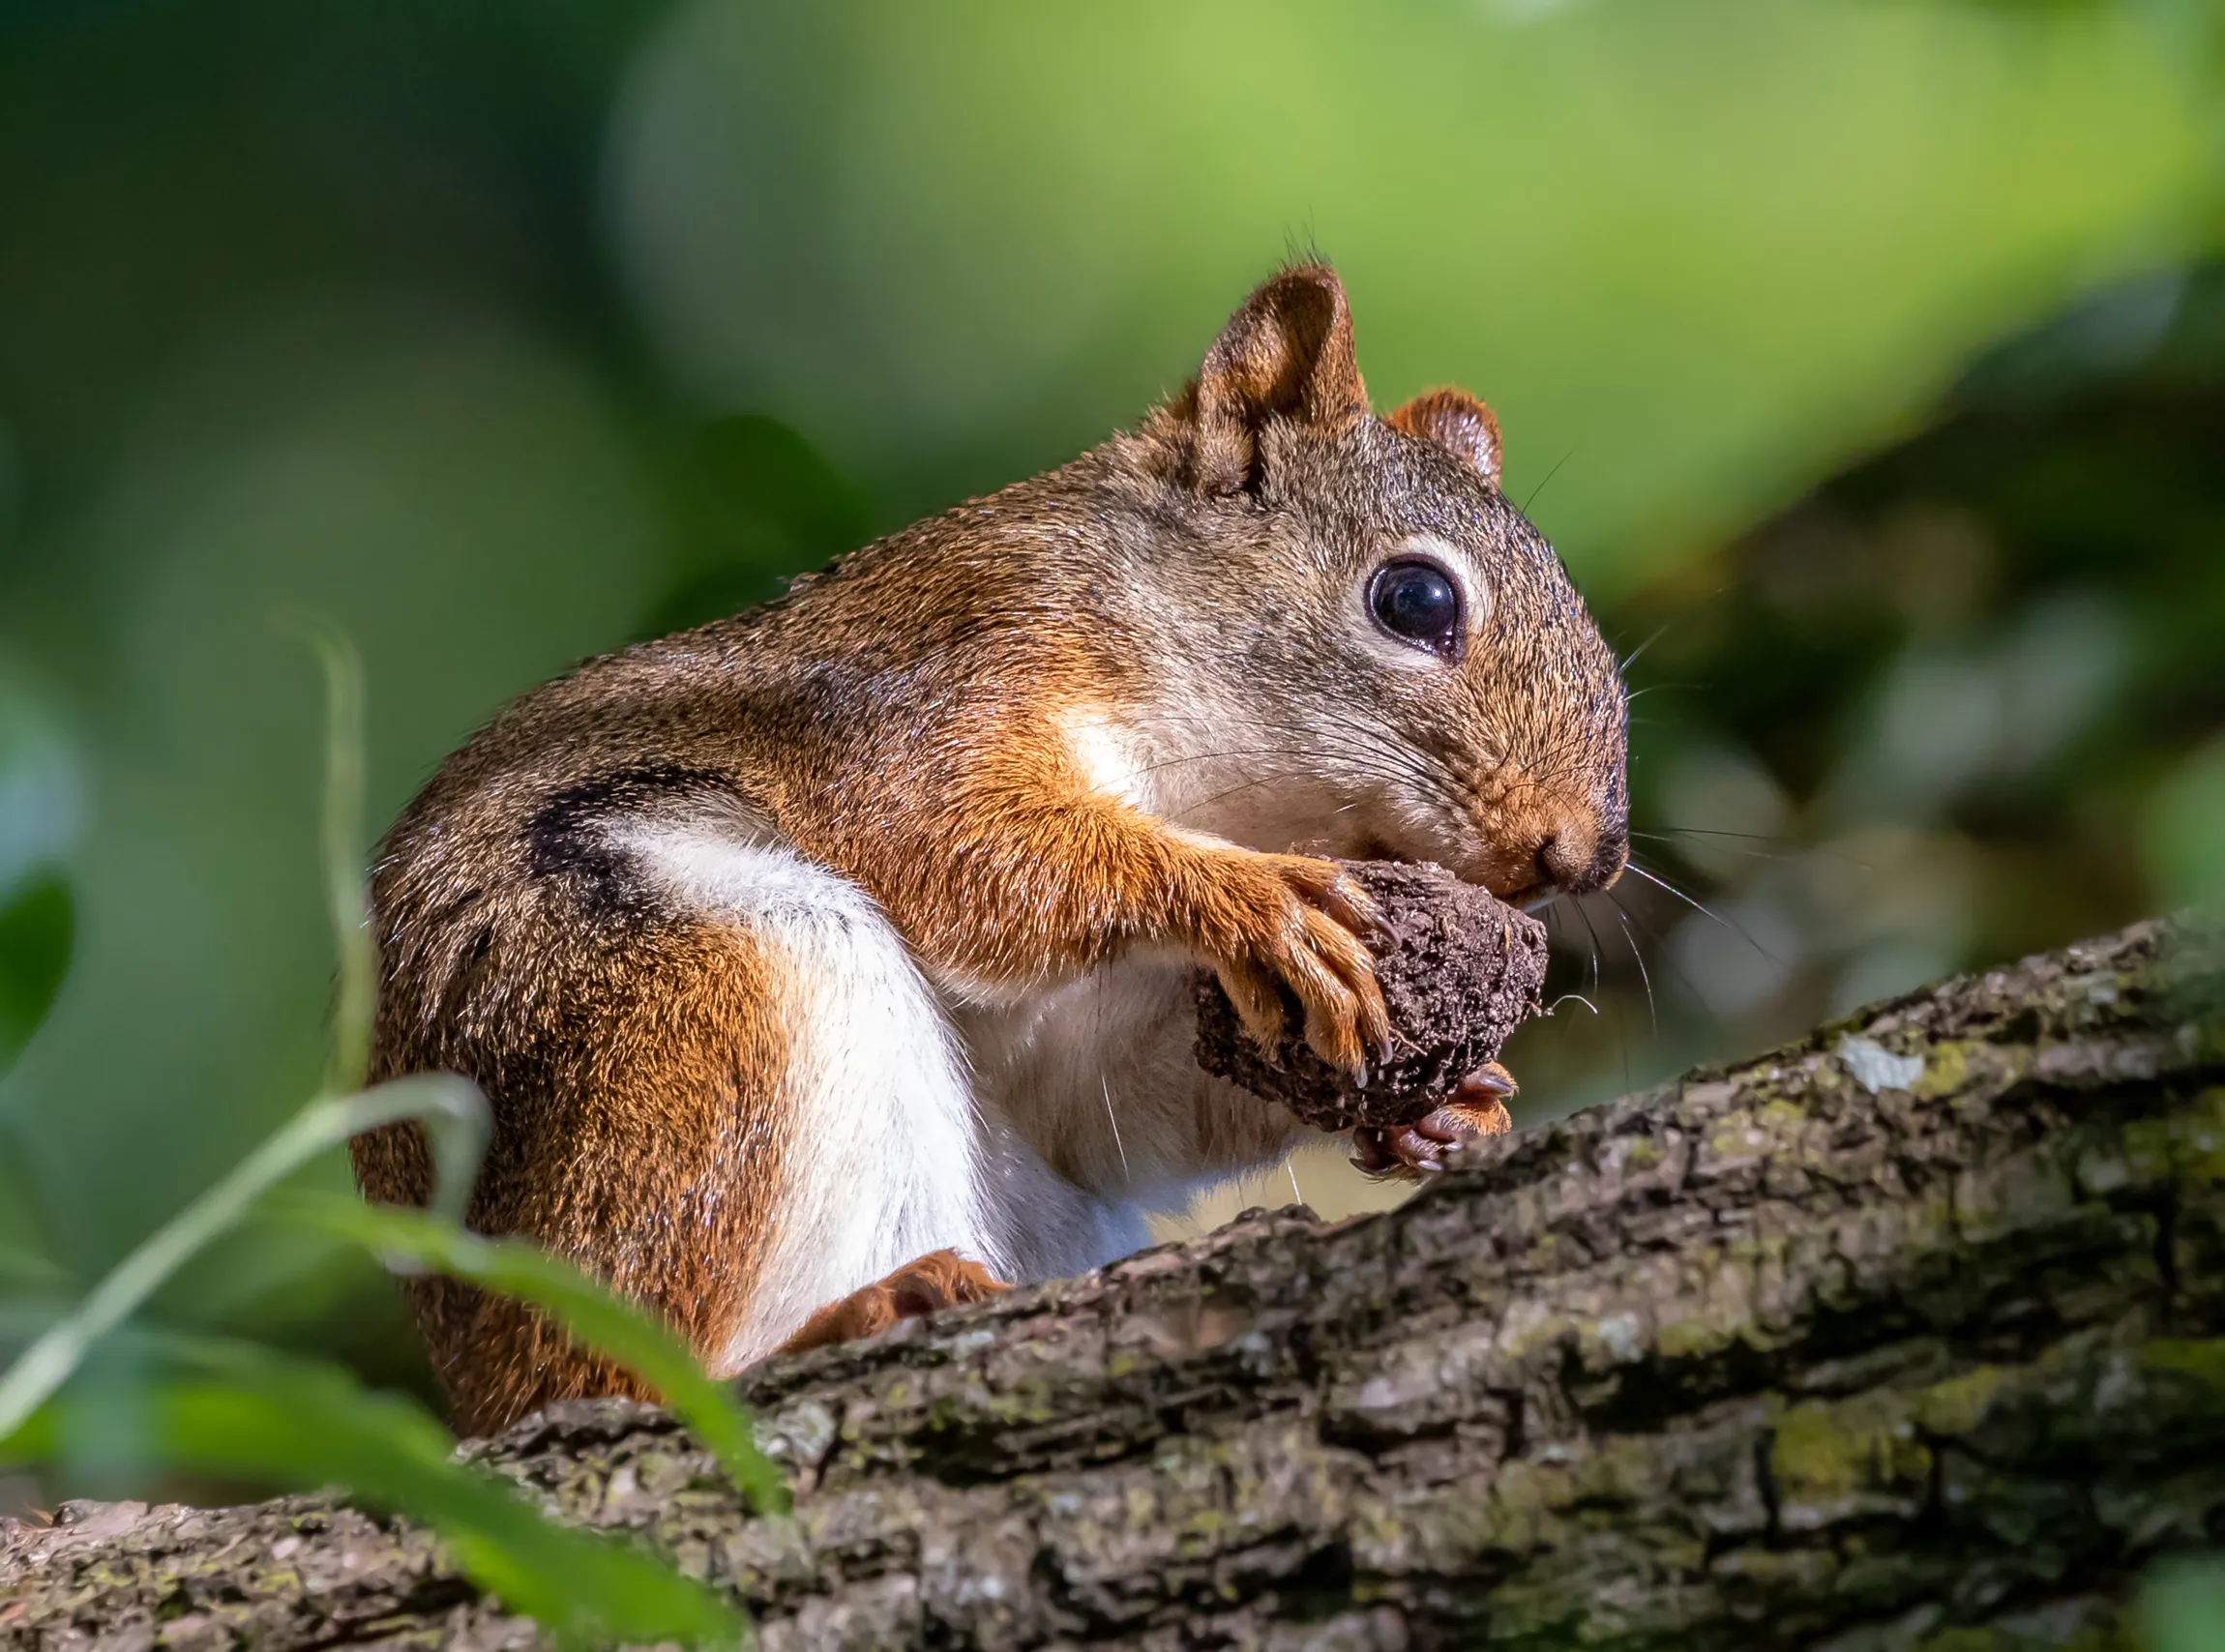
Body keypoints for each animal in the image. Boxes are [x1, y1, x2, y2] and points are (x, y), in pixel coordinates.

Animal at [351, 263, 1629, 1436]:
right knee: (598, 1377)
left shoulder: (1076, 1051)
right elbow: (951, 833)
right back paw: (851, 1316)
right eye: (1414, 600)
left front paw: (1444, 1104)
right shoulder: (944, 669)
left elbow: (1115, 1103)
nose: (1579, 857)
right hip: (693, 995)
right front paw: (1250, 896)